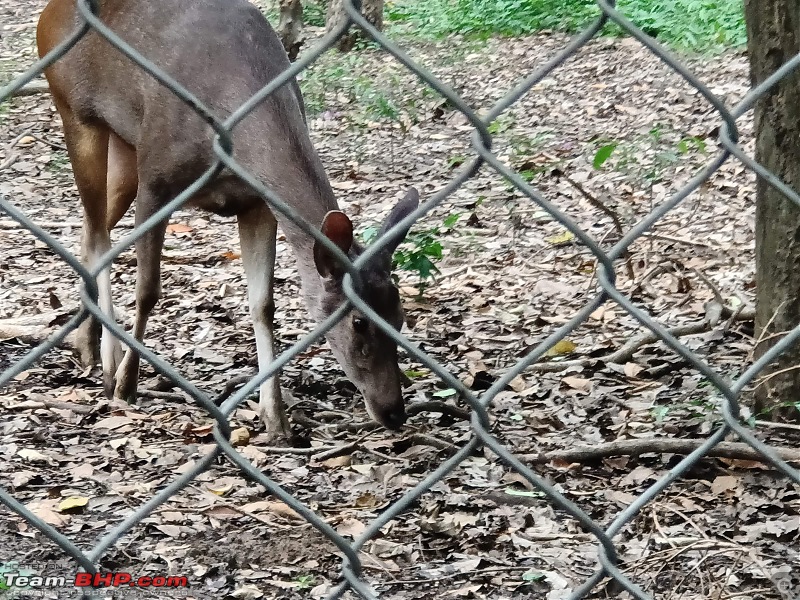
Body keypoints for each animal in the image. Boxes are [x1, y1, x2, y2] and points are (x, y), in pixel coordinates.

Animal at [36, 0, 418, 440]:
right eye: (358, 323)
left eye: (400, 316)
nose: (394, 411)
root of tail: (48, 13)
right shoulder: (157, 177)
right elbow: (148, 290)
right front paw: (127, 385)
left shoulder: (257, 204)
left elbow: (262, 305)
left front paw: (276, 417)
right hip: (76, 113)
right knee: (97, 232)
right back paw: (107, 360)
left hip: (125, 146)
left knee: (91, 229)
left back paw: (89, 345)